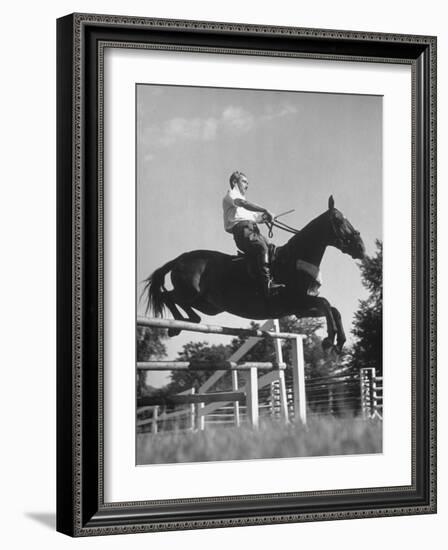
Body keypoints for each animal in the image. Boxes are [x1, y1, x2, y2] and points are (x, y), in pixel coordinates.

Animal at [142, 197, 366, 354]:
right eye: (338, 220)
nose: (361, 248)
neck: (295, 258)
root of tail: (180, 258)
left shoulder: (301, 308)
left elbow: (334, 310)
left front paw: (339, 342)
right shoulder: (297, 301)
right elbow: (327, 304)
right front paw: (329, 340)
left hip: (208, 305)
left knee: (186, 308)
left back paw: (187, 321)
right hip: (190, 292)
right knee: (167, 296)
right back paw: (176, 325)